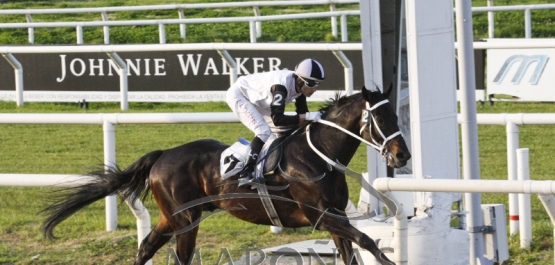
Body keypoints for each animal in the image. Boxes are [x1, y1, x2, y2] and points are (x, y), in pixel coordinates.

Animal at [43, 85, 412, 262]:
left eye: (397, 114)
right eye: (381, 119)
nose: (403, 155)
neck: (318, 155)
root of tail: (163, 155)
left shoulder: (336, 216)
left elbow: (355, 249)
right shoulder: (320, 216)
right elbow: (367, 240)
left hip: (171, 217)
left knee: (145, 247)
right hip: (185, 220)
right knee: (179, 256)